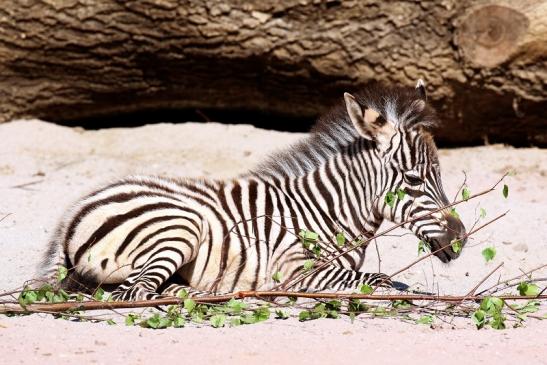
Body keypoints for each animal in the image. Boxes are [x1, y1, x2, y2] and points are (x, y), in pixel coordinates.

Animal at [37, 79, 466, 298]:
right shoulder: (294, 269)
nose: (460, 237)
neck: (327, 212)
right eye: (413, 180)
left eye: (439, 175)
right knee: (132, 292)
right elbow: (380, 281)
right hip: (178, 227)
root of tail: (72, 215)